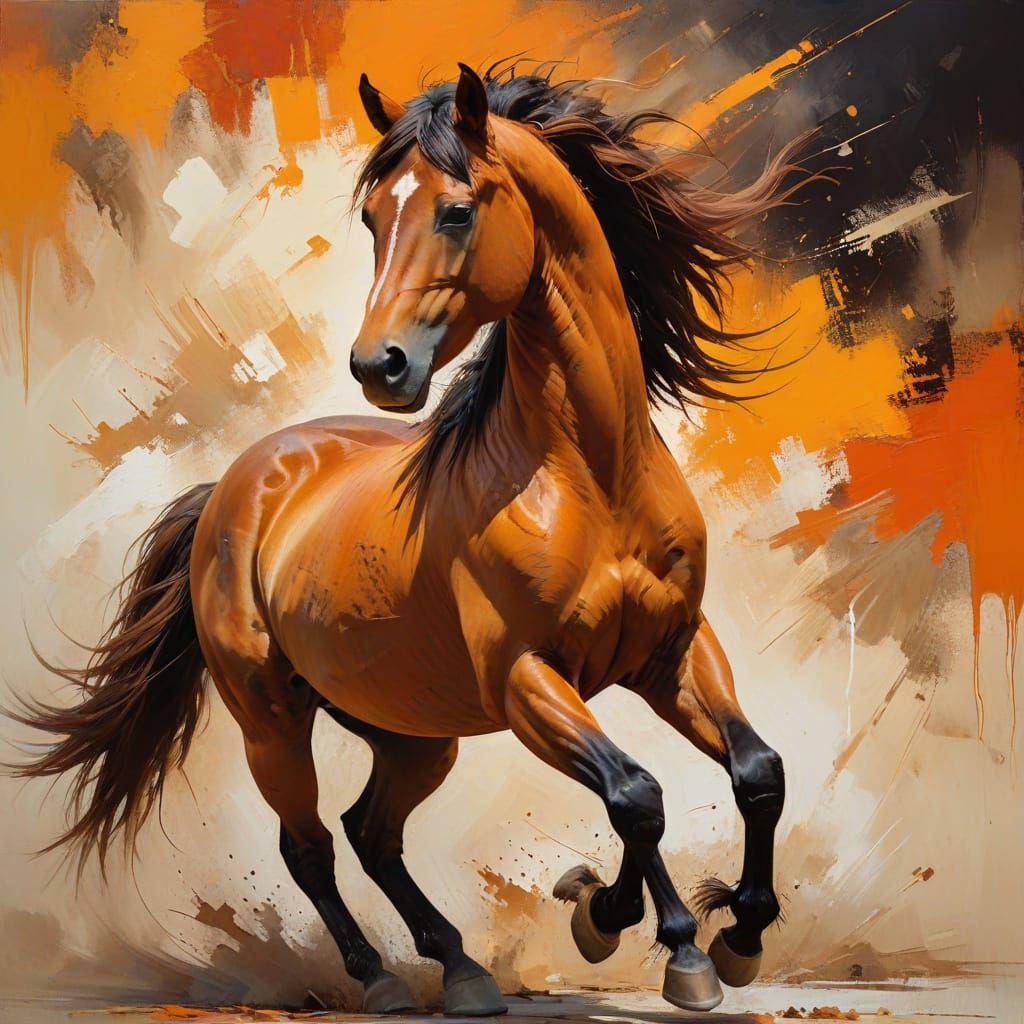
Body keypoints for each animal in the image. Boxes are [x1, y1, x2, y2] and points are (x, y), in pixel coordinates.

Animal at [12, 62, 806, 1015]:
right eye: (371, 218)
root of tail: (235, 488)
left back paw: (461, 968)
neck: (593, 479)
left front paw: (733, 938)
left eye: (457, 211)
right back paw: (385, 978)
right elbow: (635, 794)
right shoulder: (527, 681)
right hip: (272, 722)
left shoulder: (671, 652)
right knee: (311, 846)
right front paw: (632, 925)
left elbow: (755, 773)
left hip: (413, 731)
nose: (378, 366)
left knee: (372, 832)